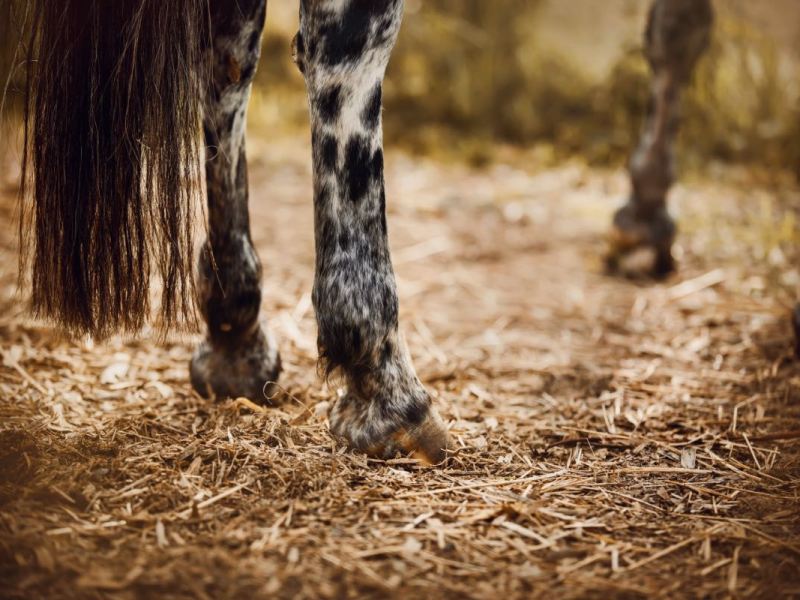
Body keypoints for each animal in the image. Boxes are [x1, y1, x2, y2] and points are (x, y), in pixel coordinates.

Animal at [14, 0, 712, 464]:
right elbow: (679, 30)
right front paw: (645, 219)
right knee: (337, 54)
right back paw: (387, 390)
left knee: (226, 59)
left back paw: (235, 335)